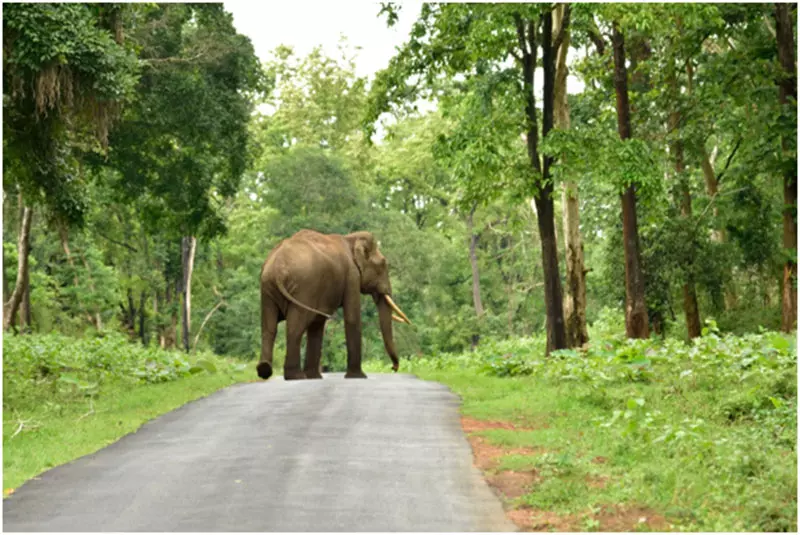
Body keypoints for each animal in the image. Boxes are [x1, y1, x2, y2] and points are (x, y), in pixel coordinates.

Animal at [258, 230, 410, 382]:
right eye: (383, 264)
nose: (393, 368)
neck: (351, 239)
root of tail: (278, 267)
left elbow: (317, 323)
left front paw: (314, 377)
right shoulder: (352, 275)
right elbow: (352, 318)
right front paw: (359, 377)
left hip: (267, 288)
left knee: (269, 327)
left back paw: (265, 370)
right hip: (303, 288)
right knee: (295, 327)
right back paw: (296, 377)